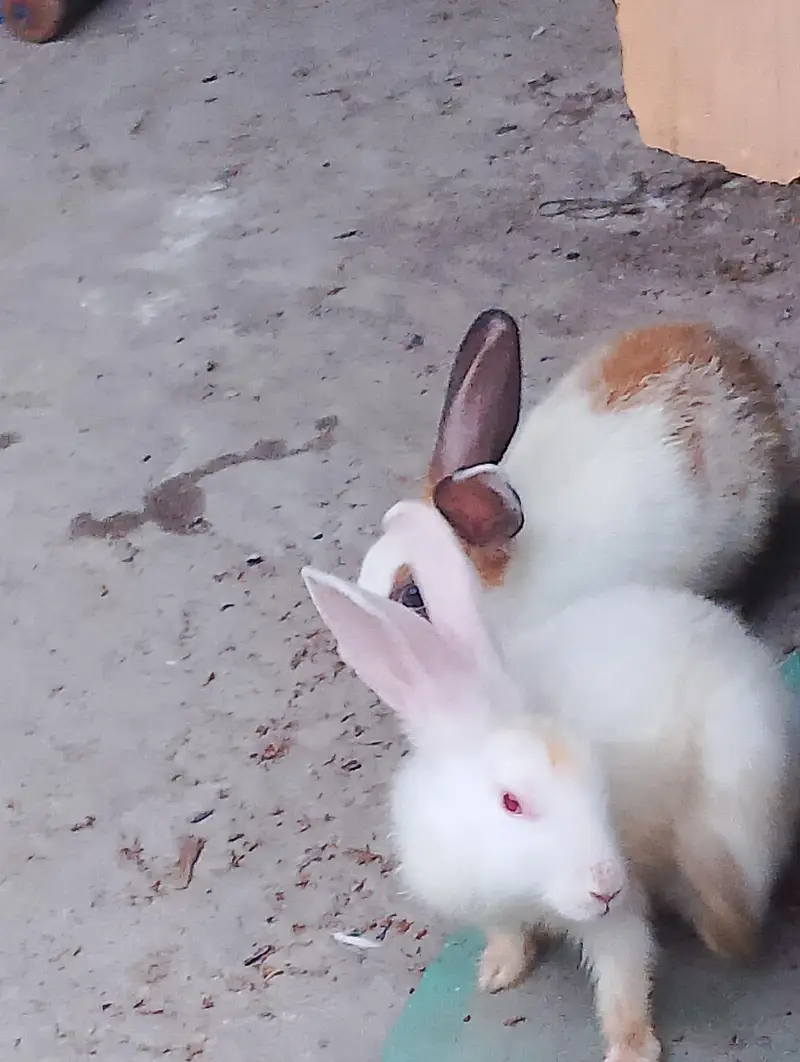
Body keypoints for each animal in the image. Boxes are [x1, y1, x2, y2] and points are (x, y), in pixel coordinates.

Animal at [303, 500, 799, 1062]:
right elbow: (508, 934)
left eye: (598, 783)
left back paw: (725, 930)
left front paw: (631, 1050)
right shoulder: (487, 903)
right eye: (511, 802)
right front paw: (498, 972)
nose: (604, 884)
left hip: (736, 793)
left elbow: (623, 975)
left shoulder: (616, 918)